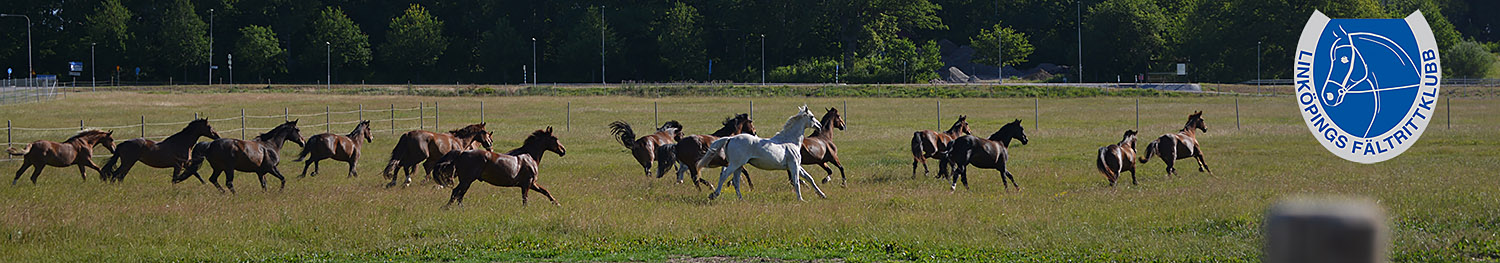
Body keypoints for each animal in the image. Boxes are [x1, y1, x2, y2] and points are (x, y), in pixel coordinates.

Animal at [438, 126, 570, 208]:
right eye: (555, 139)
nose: (563, 150)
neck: (529, 156)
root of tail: (462, 152)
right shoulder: (527, 184)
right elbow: (525, 200)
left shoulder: (532, 184)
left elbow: (546, 192)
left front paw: (557, 204)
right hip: (467, 180)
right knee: (457, 193)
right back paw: (449, 208)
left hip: (466, 180)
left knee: (458, 194)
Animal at [699, 105, 828, 199]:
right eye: (812, 117)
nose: (820, 125)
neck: (790, 141)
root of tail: (730, 138)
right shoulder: (794, 165)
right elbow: (797, 181)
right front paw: (800, 199)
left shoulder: (797, 166)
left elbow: (809, 178)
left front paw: (822, 195)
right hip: (735, 164)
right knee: (724, 176)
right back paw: (714, 194)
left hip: (739, 166)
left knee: (736, 181)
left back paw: (741, 199)